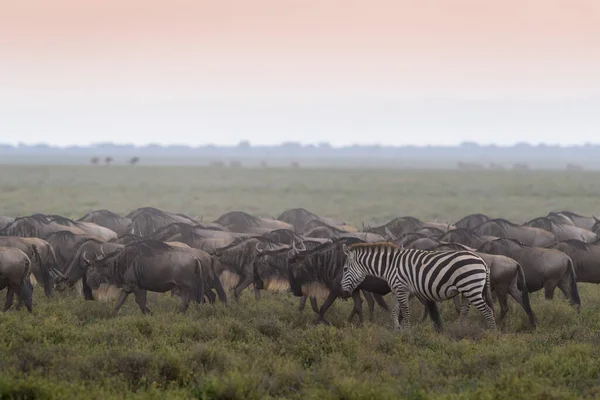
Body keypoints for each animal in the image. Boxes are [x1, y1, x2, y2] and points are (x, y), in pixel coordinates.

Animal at [342, 242, 496, 332]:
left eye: (344, 269)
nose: (343, 293)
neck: (391, 265)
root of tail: (482, 261)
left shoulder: (401, 288)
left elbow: (405, 312)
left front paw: (407, 333)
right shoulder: (400, 291)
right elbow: (395, 311)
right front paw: (398, 331)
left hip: (472, 288)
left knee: (488, 311)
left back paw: (493, 335)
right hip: (466, 291)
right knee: (464, 312)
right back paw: (460, 333)